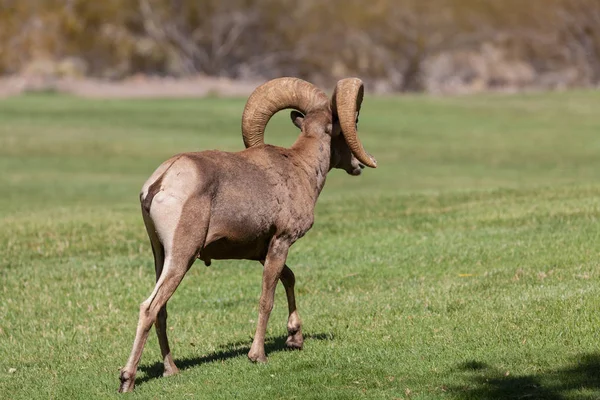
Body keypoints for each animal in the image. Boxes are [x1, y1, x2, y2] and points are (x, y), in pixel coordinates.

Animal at [118, 76, 376, 392]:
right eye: (355, 121)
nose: (358, 166)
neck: (299, 168)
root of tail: (160, 182)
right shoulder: (281, 242)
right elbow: (267, 298)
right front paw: (258, 355)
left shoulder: (262, 251)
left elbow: (289, 278)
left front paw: (295, 338)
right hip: (182, 257)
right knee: (149, 307)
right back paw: (127, 380)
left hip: (160, 256)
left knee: (161, 310)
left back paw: (172, 370)